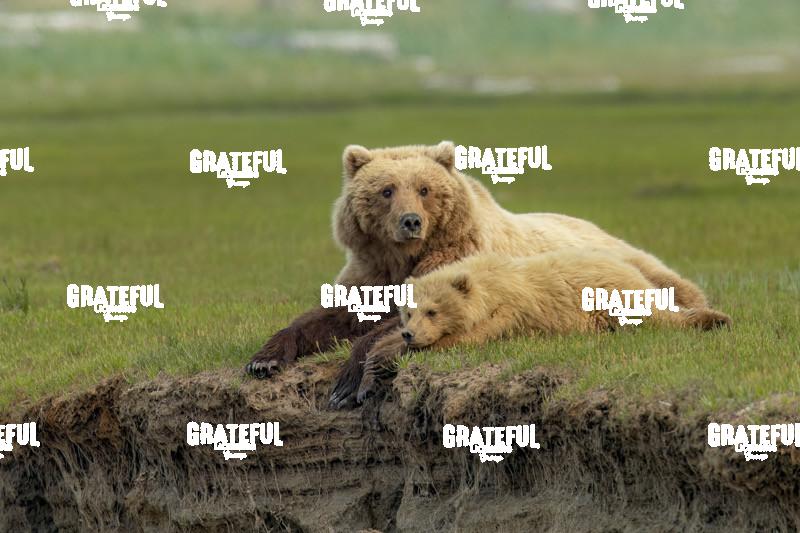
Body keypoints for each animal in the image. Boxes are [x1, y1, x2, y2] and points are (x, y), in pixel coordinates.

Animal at [355, 251, 731, 402]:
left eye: (432, 311)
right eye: (408, 312)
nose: (410, 332)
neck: (487, 287)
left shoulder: (508, 312)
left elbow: (464, 340)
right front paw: (364, 381)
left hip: (615, 298)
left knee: (657, 316)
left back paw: (714, 318)